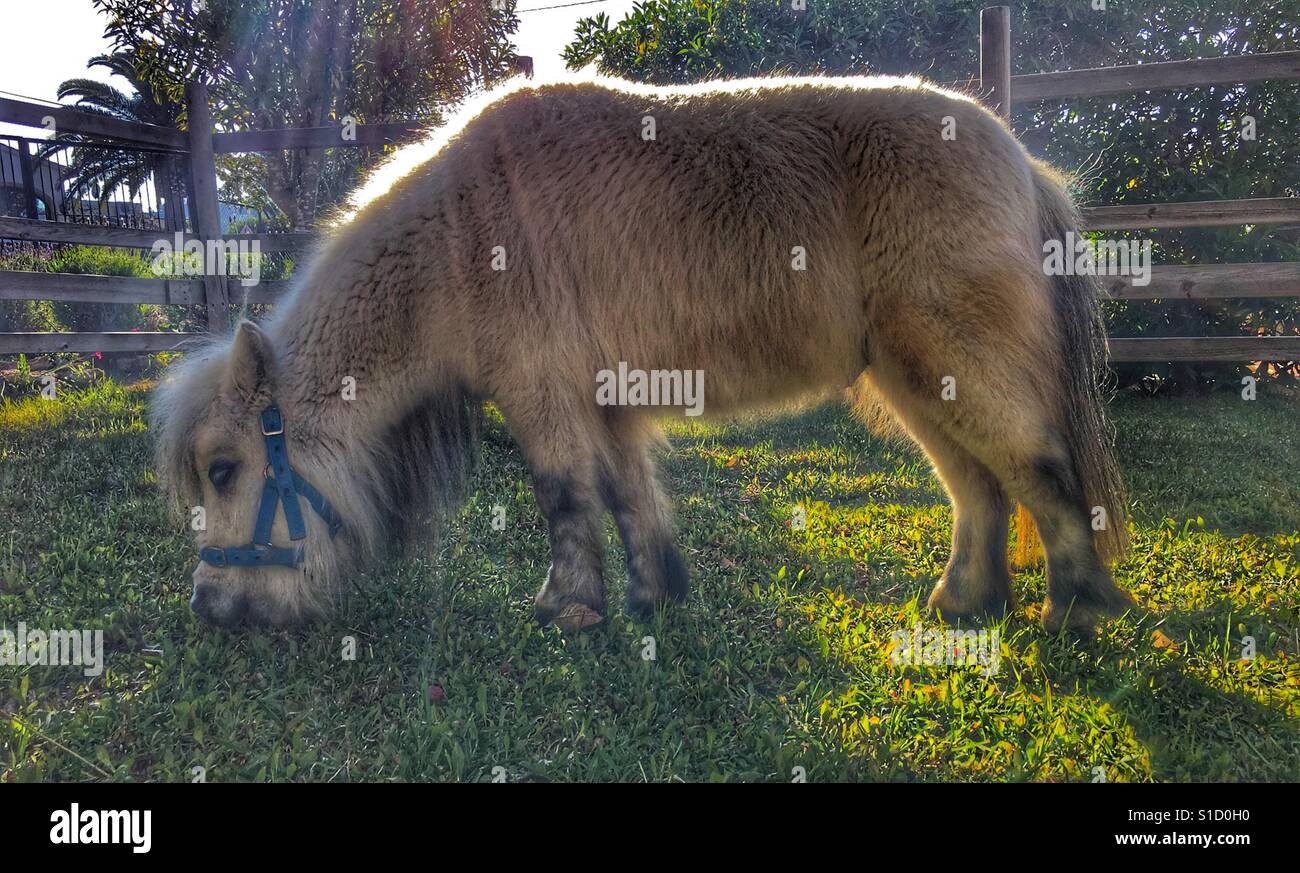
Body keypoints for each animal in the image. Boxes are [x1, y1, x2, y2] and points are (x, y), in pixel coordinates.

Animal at [152, 73, 1133, 633]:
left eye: (226, 468)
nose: (209, 607)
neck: (456, 239)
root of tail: (1023, 160)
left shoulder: (542, 395)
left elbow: (563, 495)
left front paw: (566, 610)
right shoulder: (606, 402)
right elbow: (627, 497)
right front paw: (652, 593)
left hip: (947, 360)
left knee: (1037, 467)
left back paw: (1077, 610)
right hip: (912, 378)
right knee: (978, 487)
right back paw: (965, 602)